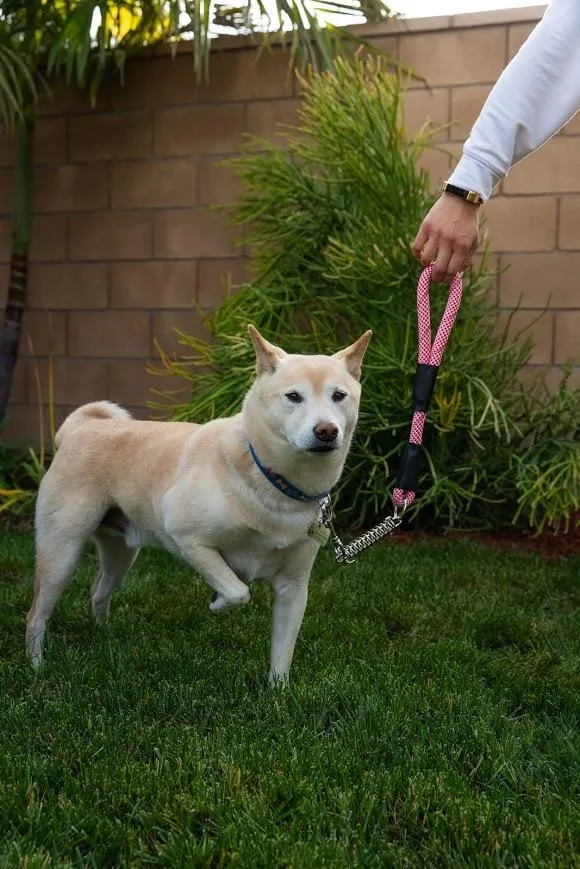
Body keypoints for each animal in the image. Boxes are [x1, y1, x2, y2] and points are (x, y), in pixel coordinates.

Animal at [26, 322, 372, 680]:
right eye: (293, 397)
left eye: (339, 396)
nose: (327, 431)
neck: (272, 482)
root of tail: (83, 427)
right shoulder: (189, 540)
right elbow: (238, 590)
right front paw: (217, 603)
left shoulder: (293, 589)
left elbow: (281, 657)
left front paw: (277, 692)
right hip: (61, 552)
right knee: (36, 614)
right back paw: (37, 667)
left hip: (120, 554)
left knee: (98, 590)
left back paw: (103, 636)